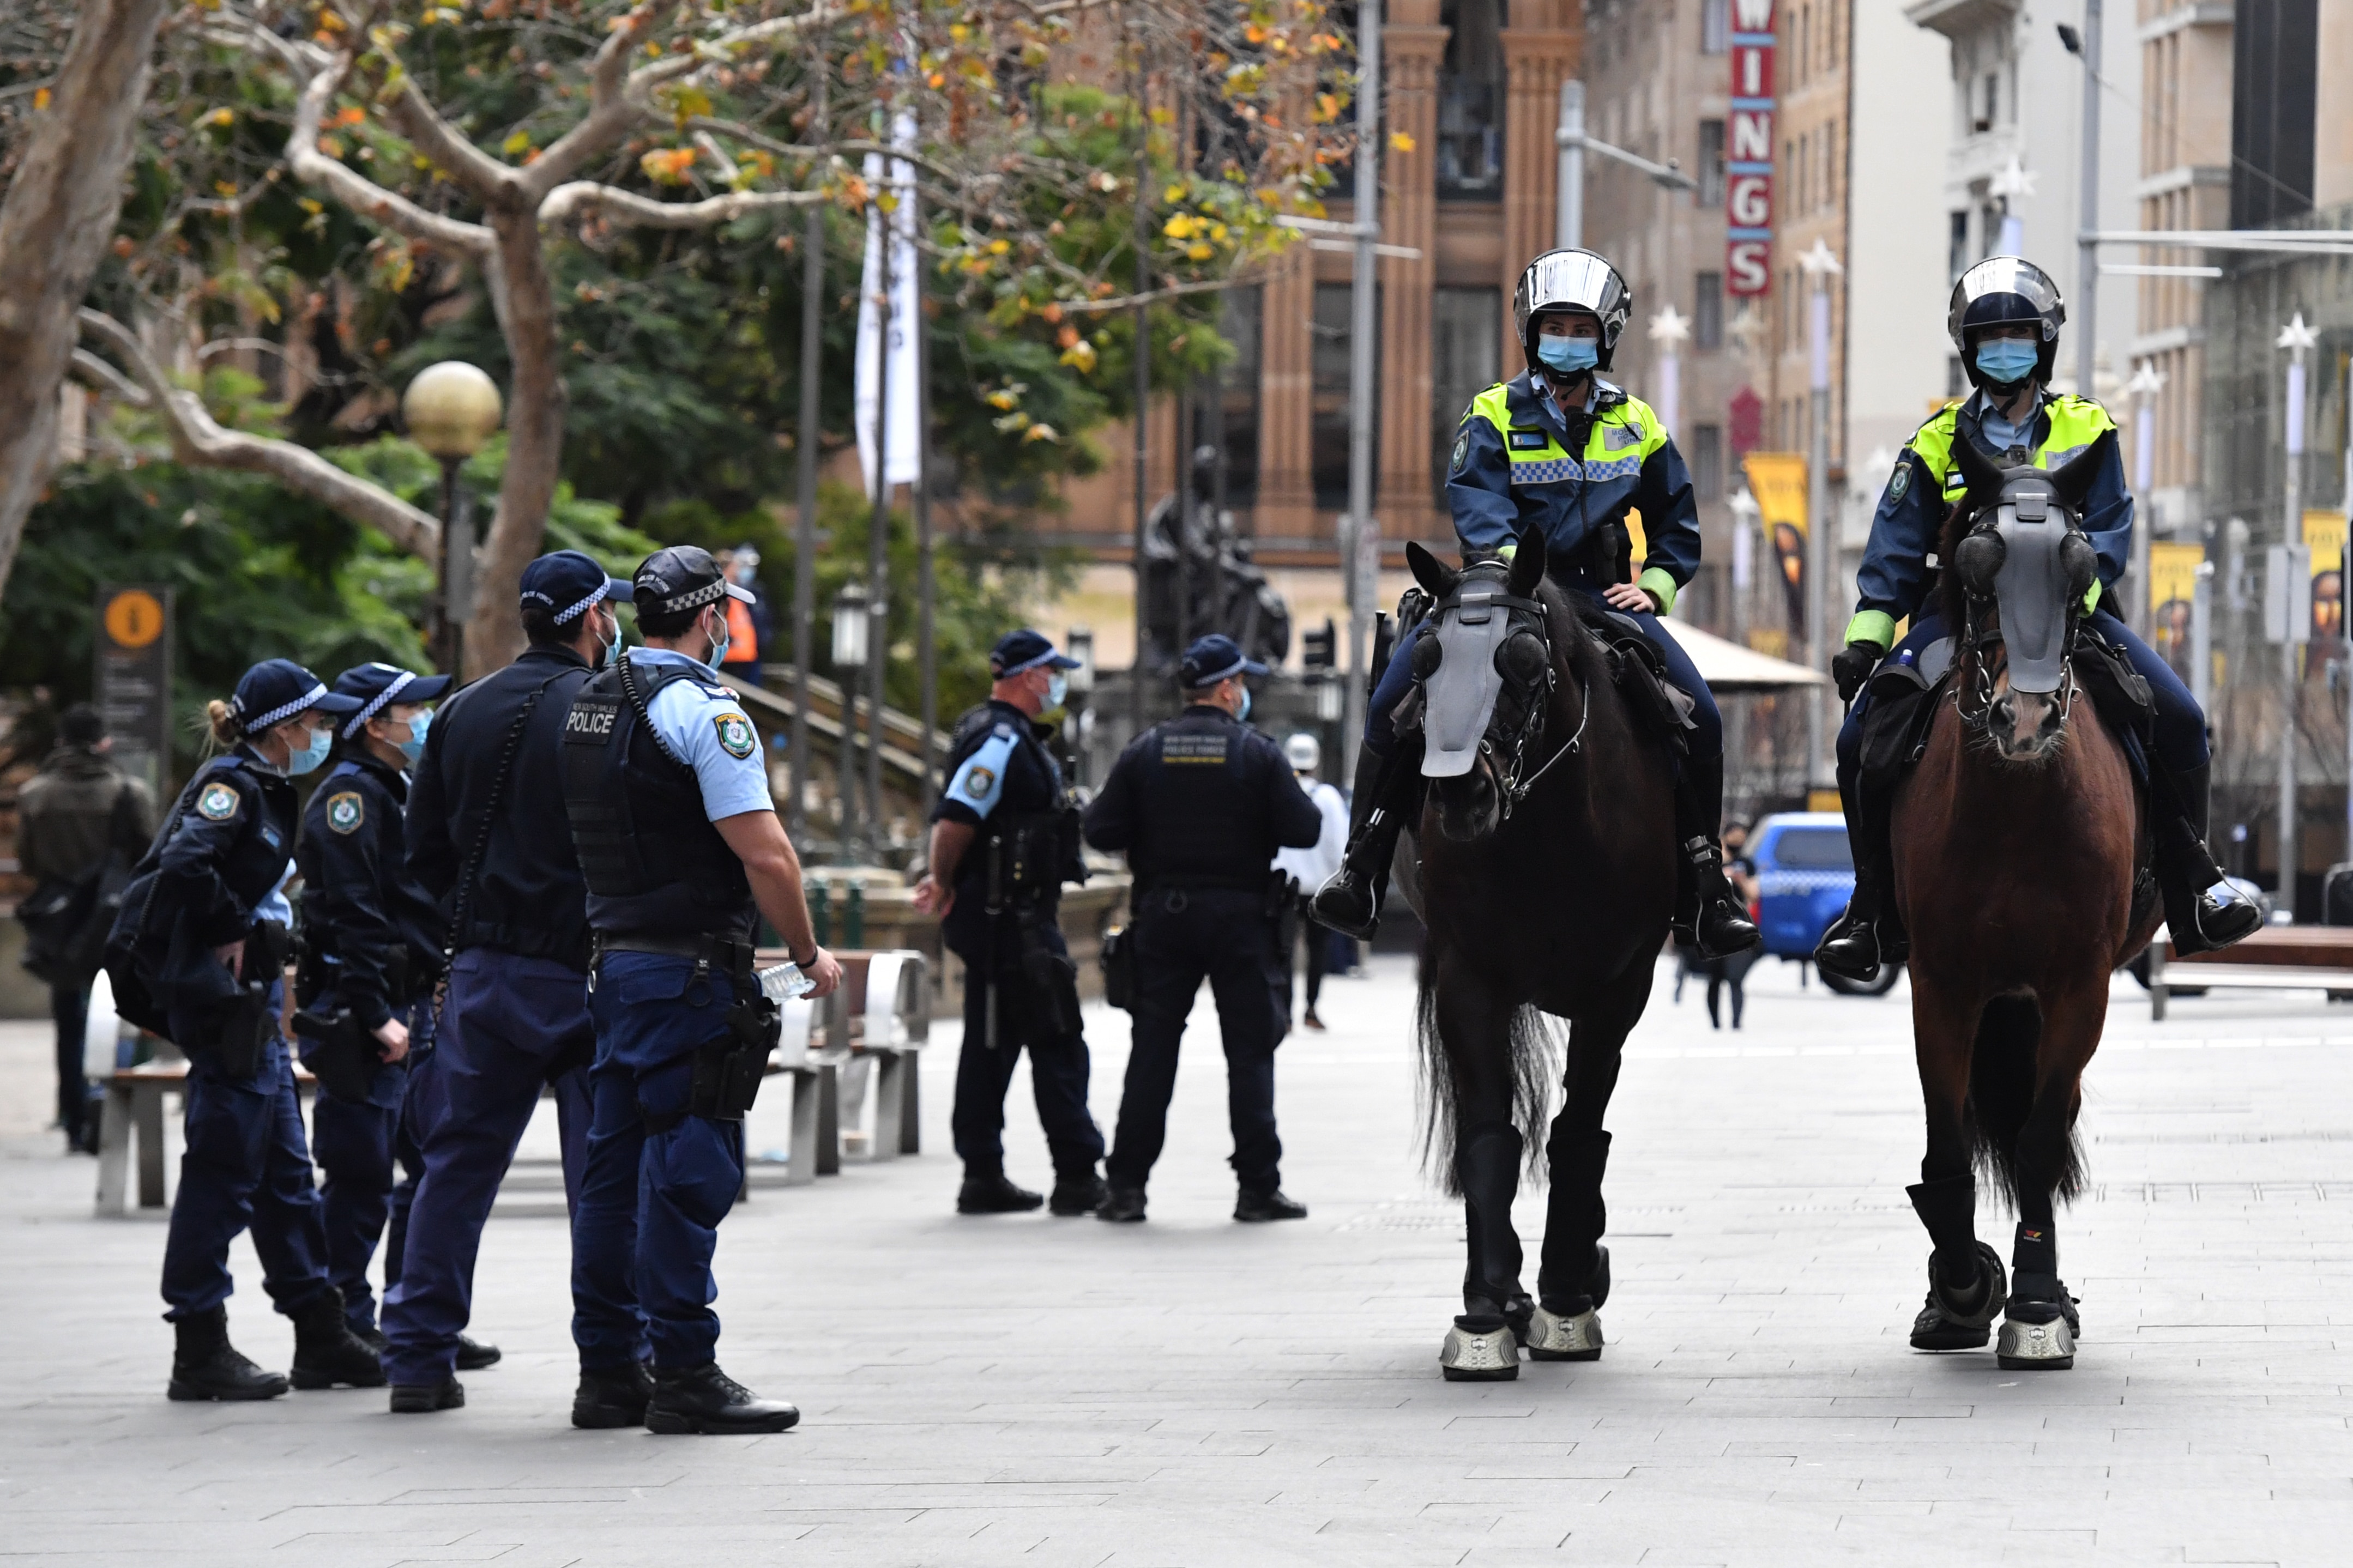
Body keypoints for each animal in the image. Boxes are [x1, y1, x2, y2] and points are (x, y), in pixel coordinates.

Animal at [1393, 531, 1675, 1382]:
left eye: (1520, 660)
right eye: (1425, 658)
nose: (1457, 793)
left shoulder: (1619, 990)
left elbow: (1579, 1135)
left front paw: (1568, 1295)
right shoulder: (1469, 979)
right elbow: (1490, 1137)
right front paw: (1486, 1313)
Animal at [1892, 432, 2155, 1372]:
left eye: (2081, 568)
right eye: (1975, 567)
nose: (2028, 718)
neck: (2017, 812)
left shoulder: (2082, 987)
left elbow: (2039, 1140)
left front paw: (2037, 1303)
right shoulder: (1942, 986)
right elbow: (1945, 1146)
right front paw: (1964, 1285)